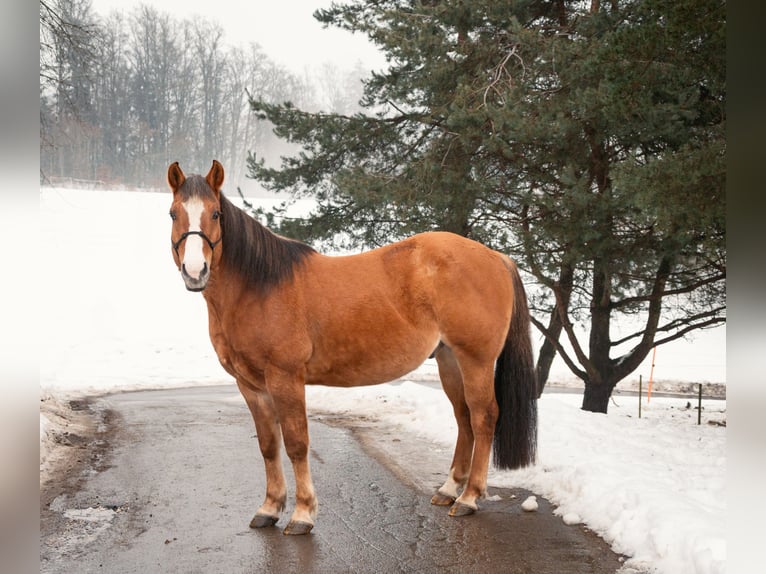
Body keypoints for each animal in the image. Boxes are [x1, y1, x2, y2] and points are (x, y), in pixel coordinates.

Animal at [167, 160, 537, 535]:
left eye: (215, 213)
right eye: (173, 213)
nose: (195, 271)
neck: (260, 287)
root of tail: (496, 257)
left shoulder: (286, 379)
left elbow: (297, 444)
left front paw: (302, 513)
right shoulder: (250, 385)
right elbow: (268, 445)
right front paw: (269, 508)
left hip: (476, 360)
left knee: (483, 417)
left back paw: (470, 497)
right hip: (449, 359)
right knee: (463, 418)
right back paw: (450, 489)